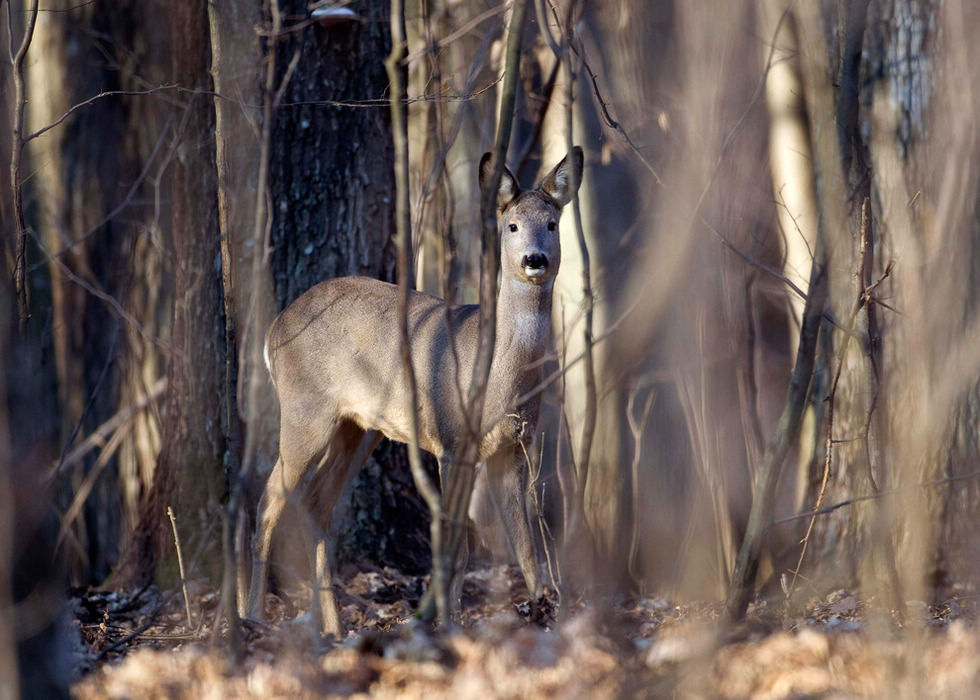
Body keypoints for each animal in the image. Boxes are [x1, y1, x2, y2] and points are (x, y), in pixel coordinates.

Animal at [247, 146, 580, 636]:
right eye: (512, 226)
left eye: (552, 223)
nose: (534, 260)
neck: (498, 374)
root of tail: (273, 329)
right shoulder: (452, 438)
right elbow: (459, 545)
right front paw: (449, 623)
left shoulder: (513, 446)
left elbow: (526, 546)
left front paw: (543, 614)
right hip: (304, 409)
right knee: (269, 500)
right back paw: (252, 615)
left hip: (357, 428)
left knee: (315, 503)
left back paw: (334, 627)